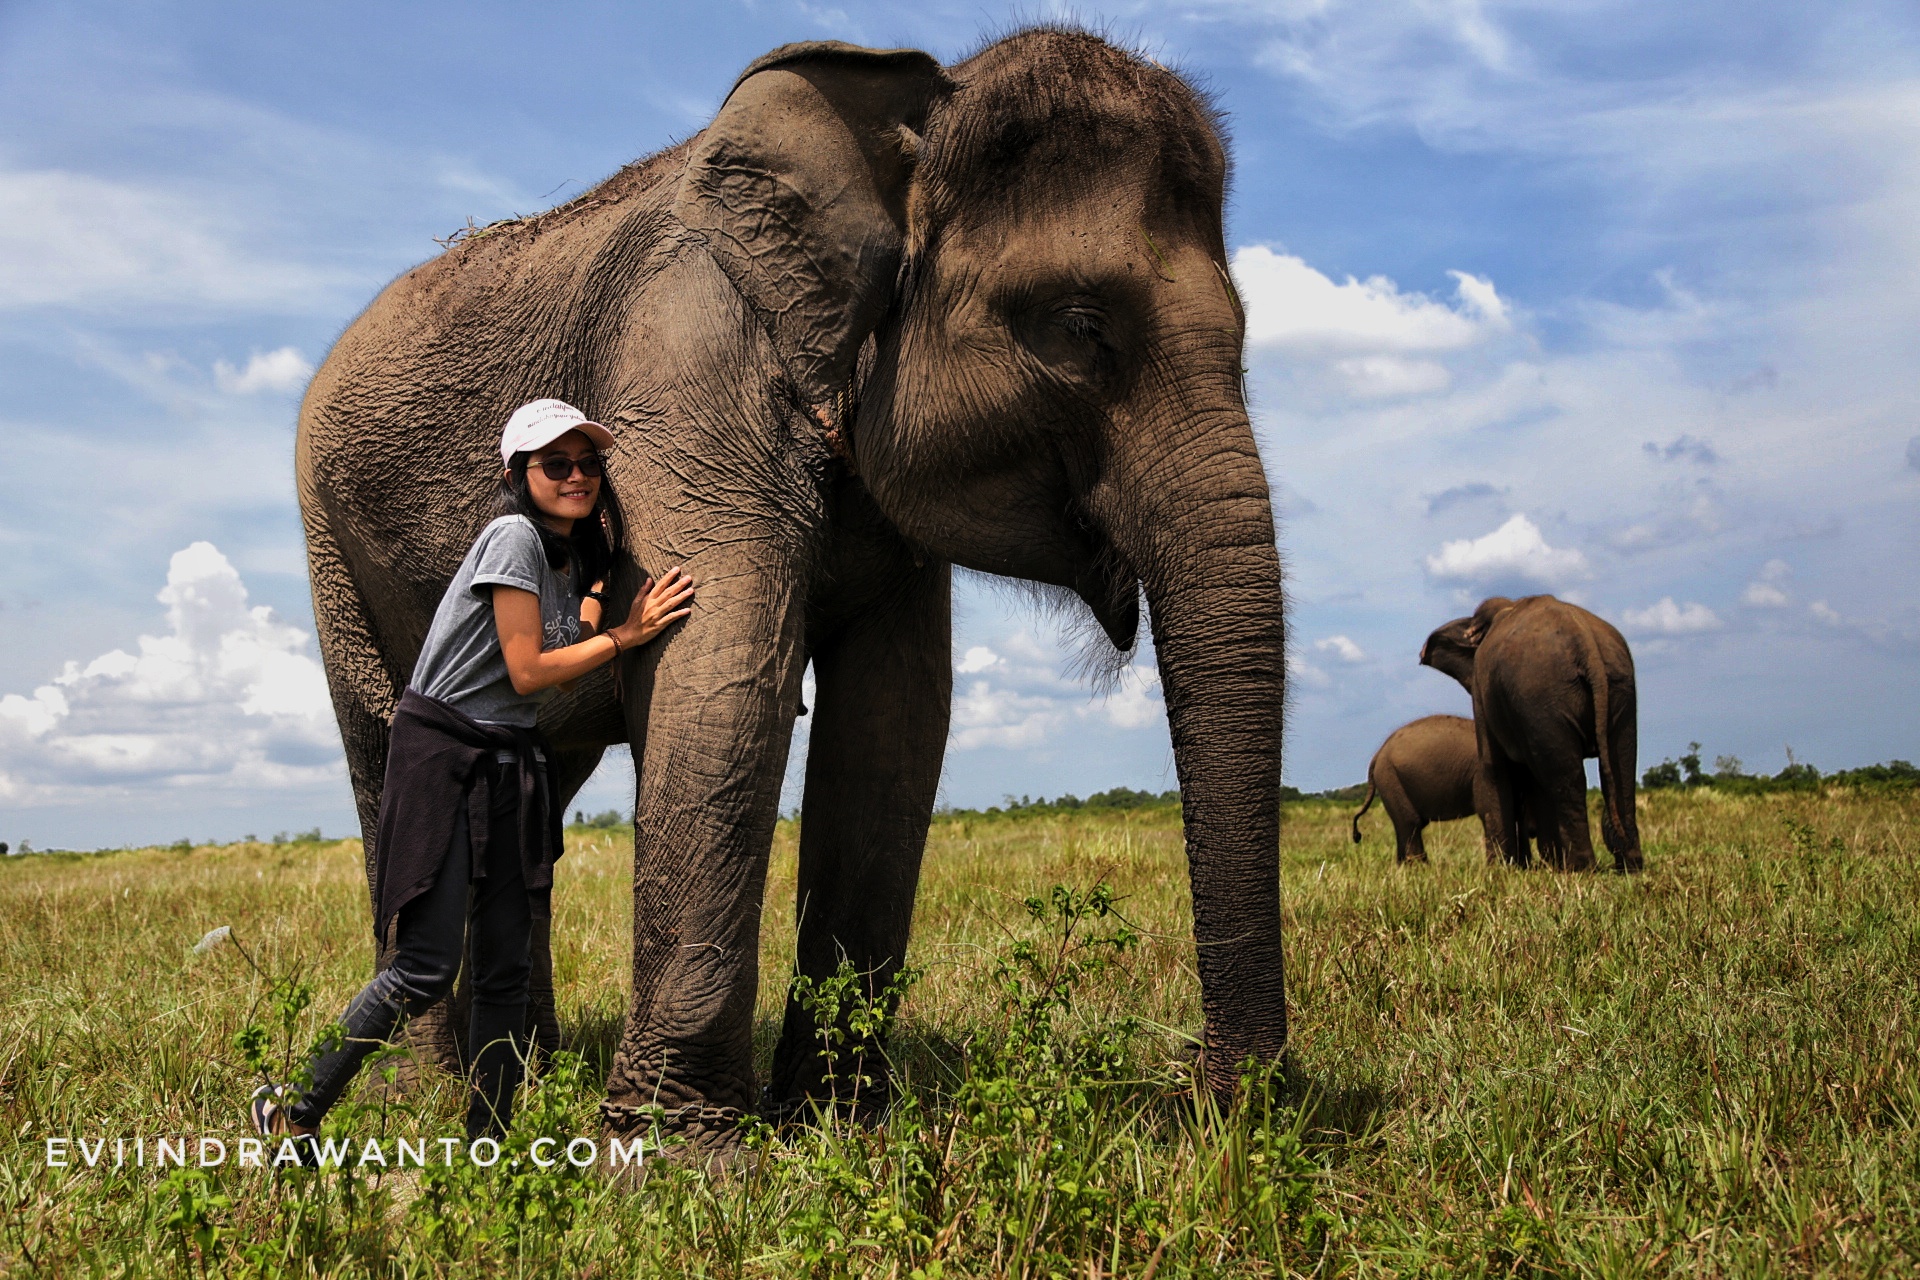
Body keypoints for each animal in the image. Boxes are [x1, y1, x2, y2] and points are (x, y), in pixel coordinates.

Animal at [295, 29, 1290, 1151]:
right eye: (1082, 325)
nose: (1209, 1099)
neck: (909, 112)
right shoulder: (686, 362)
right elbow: (723, 678)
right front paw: (680, 1157)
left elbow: (894, 724)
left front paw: (840, 1125)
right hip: (335, 549)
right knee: (390, 772)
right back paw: (424, 1091)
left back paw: (527, 1076)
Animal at [1420, 594, 1643, 875]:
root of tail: (1584, 641)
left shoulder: (1484, 689)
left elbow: (1494, 767)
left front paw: (1500, 870)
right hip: (1618, 686)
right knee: (1620, 767)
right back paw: (1629, 866)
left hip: (1542, 694)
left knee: (1566, 779)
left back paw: (1580, 869)